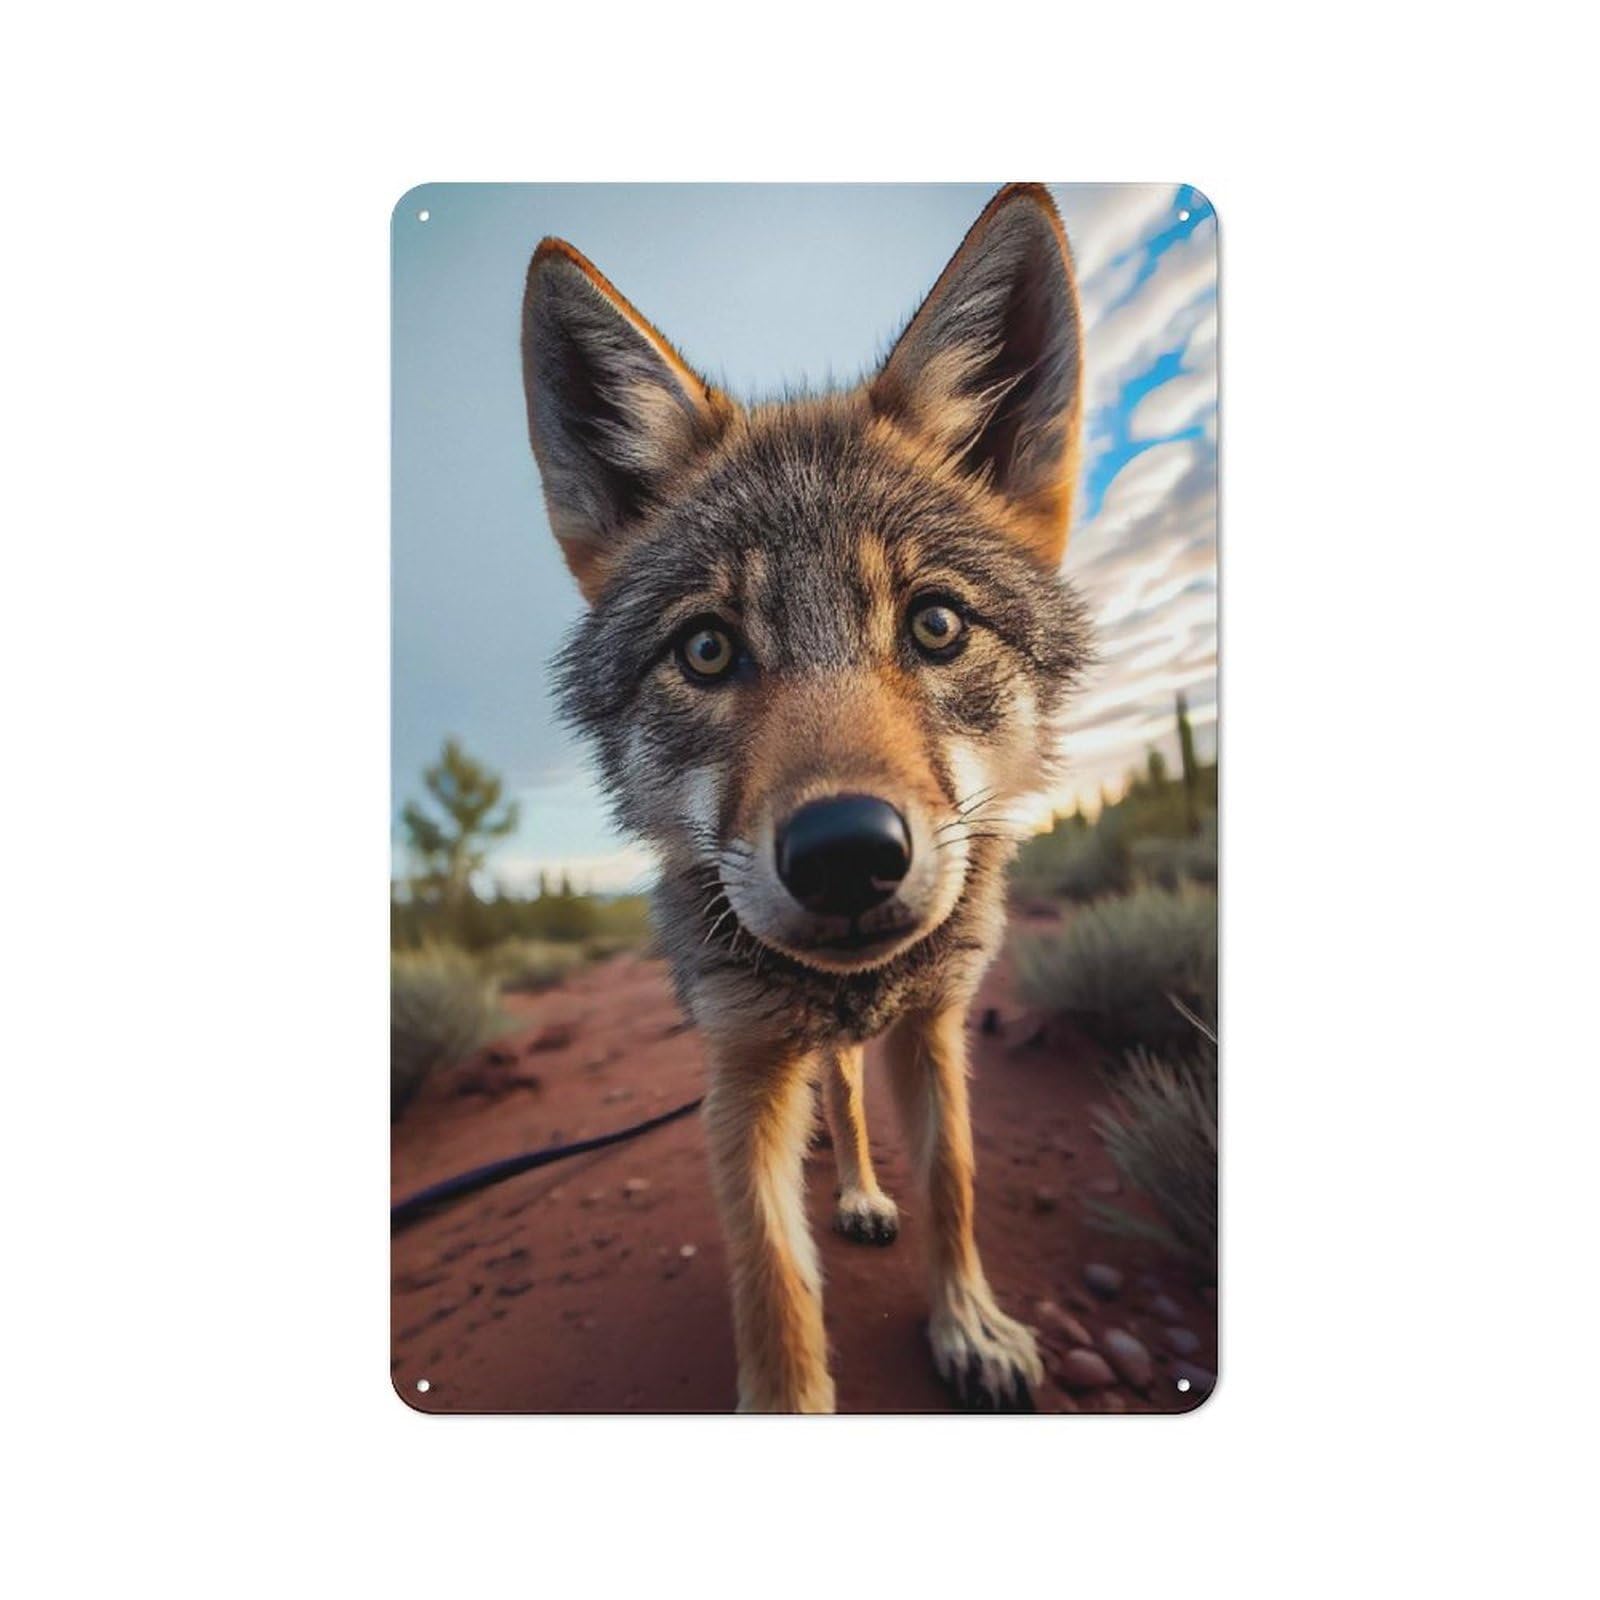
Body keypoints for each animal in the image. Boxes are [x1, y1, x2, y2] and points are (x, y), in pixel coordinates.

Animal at [521, 184, 1091, 1412]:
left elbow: (954, 1182)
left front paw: (968, 1324)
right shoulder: (741, 1072)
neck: (850, 989)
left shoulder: (933, 1027)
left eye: (936, 624)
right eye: (705, 648)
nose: (844, 852)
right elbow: (771, 1277)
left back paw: (868, 1193)